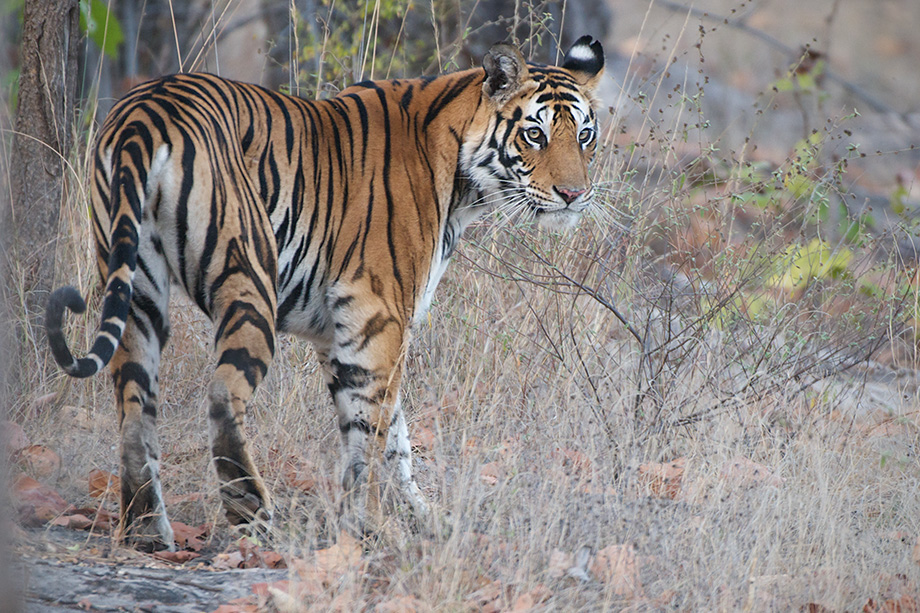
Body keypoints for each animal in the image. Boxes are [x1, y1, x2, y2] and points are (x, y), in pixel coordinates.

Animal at [45, 35, 604, 548]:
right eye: (534, 134)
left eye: (585, 135)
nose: (574, 195)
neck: (462, 181)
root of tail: (144, 112)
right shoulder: (378, 312)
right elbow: (373, 432)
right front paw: (375, 526)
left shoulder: (341, 331)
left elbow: (393, 431)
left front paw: (422, 517)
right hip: (249, 274)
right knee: (223, 395)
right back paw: (251, 511)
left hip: (136, 285)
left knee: (133, 403)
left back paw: (144, 529)